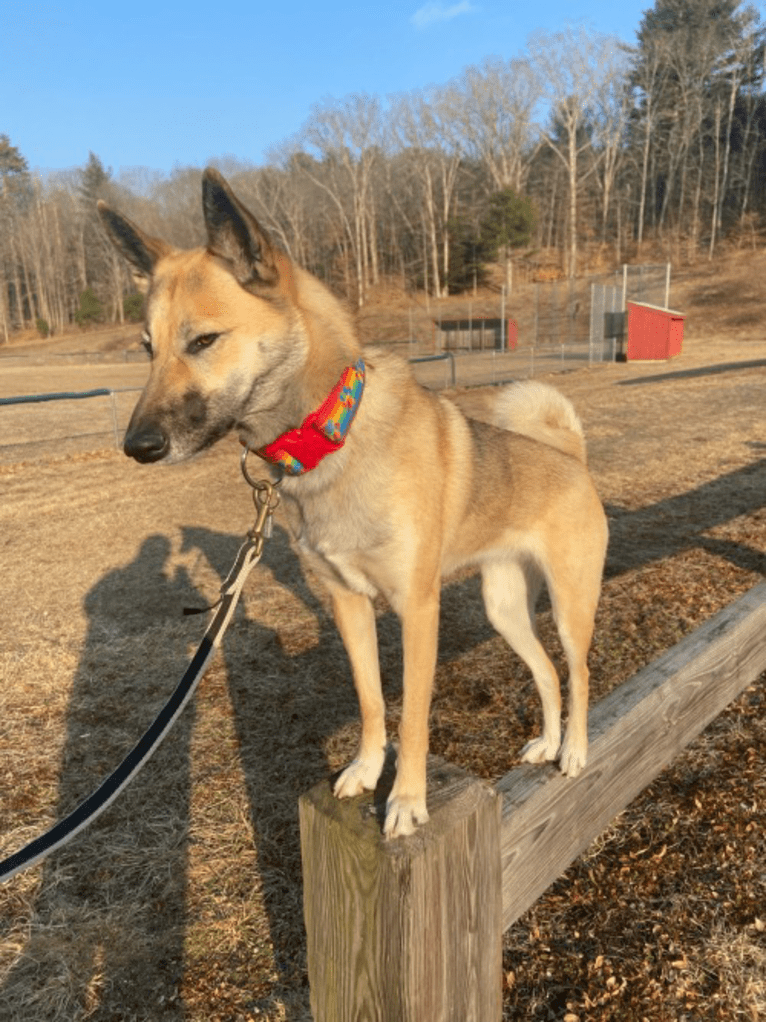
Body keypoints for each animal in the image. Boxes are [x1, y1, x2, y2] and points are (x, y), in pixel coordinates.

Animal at [97, 169, 612, 838]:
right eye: (146, 348)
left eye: (204, 340)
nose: (137, 447)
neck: (328, 432)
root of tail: (572, 458)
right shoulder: (347, 603)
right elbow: (371, 700)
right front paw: (367, 772)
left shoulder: (418, 609)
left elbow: (413, 716)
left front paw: (407, 800)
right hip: (503, 606)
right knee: (546, 673)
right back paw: (548, 743)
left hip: (572, 603)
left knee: (578, 672)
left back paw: (573, 750)